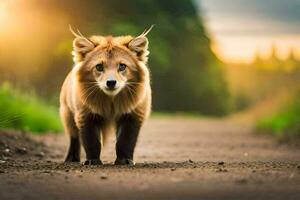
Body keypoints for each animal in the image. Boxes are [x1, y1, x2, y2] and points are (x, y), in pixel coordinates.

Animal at [59, 25, 152, 166]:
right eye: (99, 67)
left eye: (122, 66)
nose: (111, 82)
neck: (111, 103)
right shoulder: (85, 115)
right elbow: (91, 141)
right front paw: (92, 161)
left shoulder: (133, 115)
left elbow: (125, 141)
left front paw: (124, 160)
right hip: (67, 114)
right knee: (74, 138)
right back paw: (71, 159)